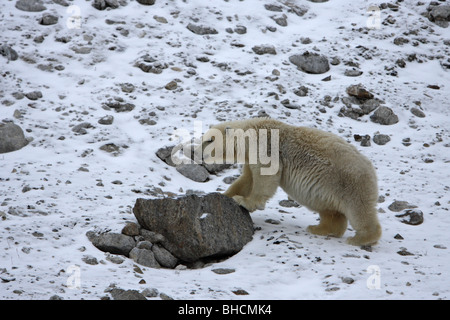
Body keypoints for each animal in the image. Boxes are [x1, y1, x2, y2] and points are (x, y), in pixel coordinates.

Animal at [202, 119, 382, 246]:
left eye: (209, 140)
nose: (198, 152)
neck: (252, 131)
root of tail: (371, 169)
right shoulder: (250, 157)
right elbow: (247, 180)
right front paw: (225, 195)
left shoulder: (265, 147)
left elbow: (265, 176)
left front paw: (244, 201)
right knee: (331, 212)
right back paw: (318, 229)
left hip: (350, 182)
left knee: (358, 210)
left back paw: (360, 238)